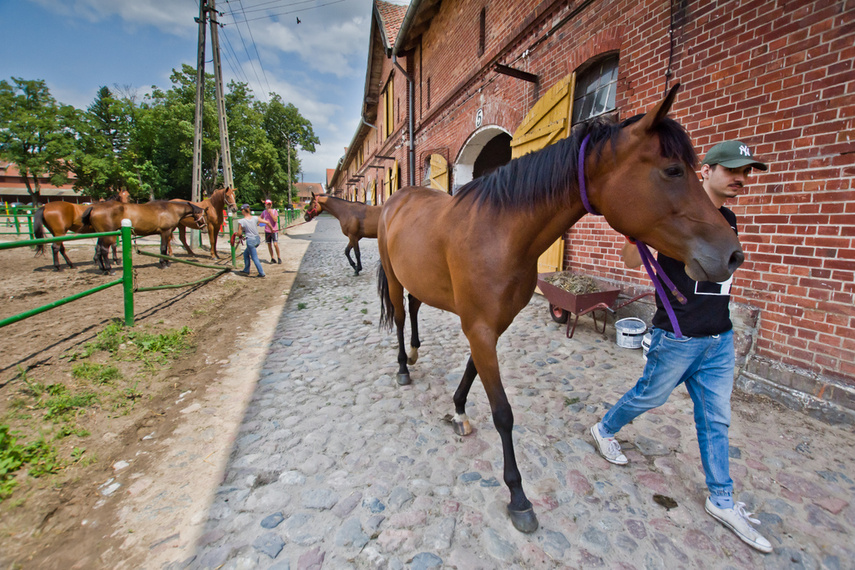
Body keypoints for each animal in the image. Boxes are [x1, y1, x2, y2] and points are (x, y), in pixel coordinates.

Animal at [374, 85, 744, 532]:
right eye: (673, 170)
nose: (732, 255)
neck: (498, 232)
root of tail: (398, 198)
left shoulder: (490, 325)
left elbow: (472, 371)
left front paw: (459, 410)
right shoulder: (480, 327)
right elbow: (503, 412)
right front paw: (518, 496)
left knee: (412, 308)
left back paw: (414, 351)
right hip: (393, 276)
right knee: (398, 315)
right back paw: (403, 366)